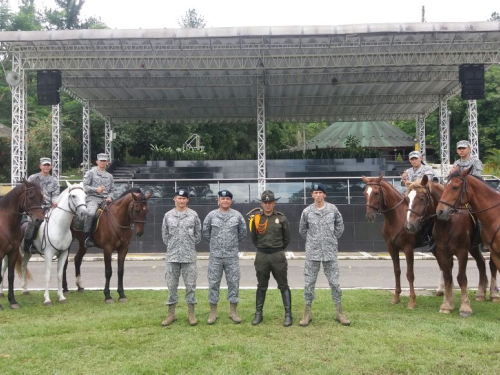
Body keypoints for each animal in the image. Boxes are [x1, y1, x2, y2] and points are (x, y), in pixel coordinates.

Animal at [0, 181, 44, 310]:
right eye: (31, 196)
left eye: (42, 197)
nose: (39, 220)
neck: (6, 224)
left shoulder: (13, 252)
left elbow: (10, 276)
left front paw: (12, 301)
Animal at [362, 175, 428, 310]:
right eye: (365, 193)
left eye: (376, 193)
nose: (370, 216)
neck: (397, 218)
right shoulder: (391, 248)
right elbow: (397, 271)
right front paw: (396, 297)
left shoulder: (408, 249)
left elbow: (410, 274)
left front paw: (412, 301)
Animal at [404, 176, 494, 318]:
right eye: (407, 199)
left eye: (422, 198)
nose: (409, 226)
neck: (447, 222)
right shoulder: (442, 251)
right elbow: (447, 276)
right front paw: (447, 304)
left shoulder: (462, 252)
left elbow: (461, 278)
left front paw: (465, 307)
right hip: (473, 247)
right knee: (481, 263)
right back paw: (480, 293)